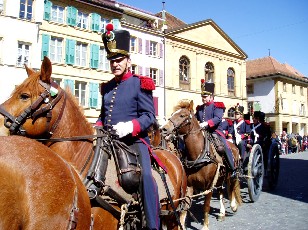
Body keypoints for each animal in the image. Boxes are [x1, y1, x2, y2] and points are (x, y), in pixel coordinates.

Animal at [160, 99, 242, 229]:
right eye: (172, 114)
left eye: (182, 115)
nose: (163, 129)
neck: (198, 154)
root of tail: (233, 145)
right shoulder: (189, 185)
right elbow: (185, 208)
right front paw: (182, 225)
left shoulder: (209, 186)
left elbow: (206, 206)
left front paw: (205, 226)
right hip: (220, 177)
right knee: (221, 191)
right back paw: (222, 213)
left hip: (230, 174)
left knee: (232, 186)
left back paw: (233, 205)